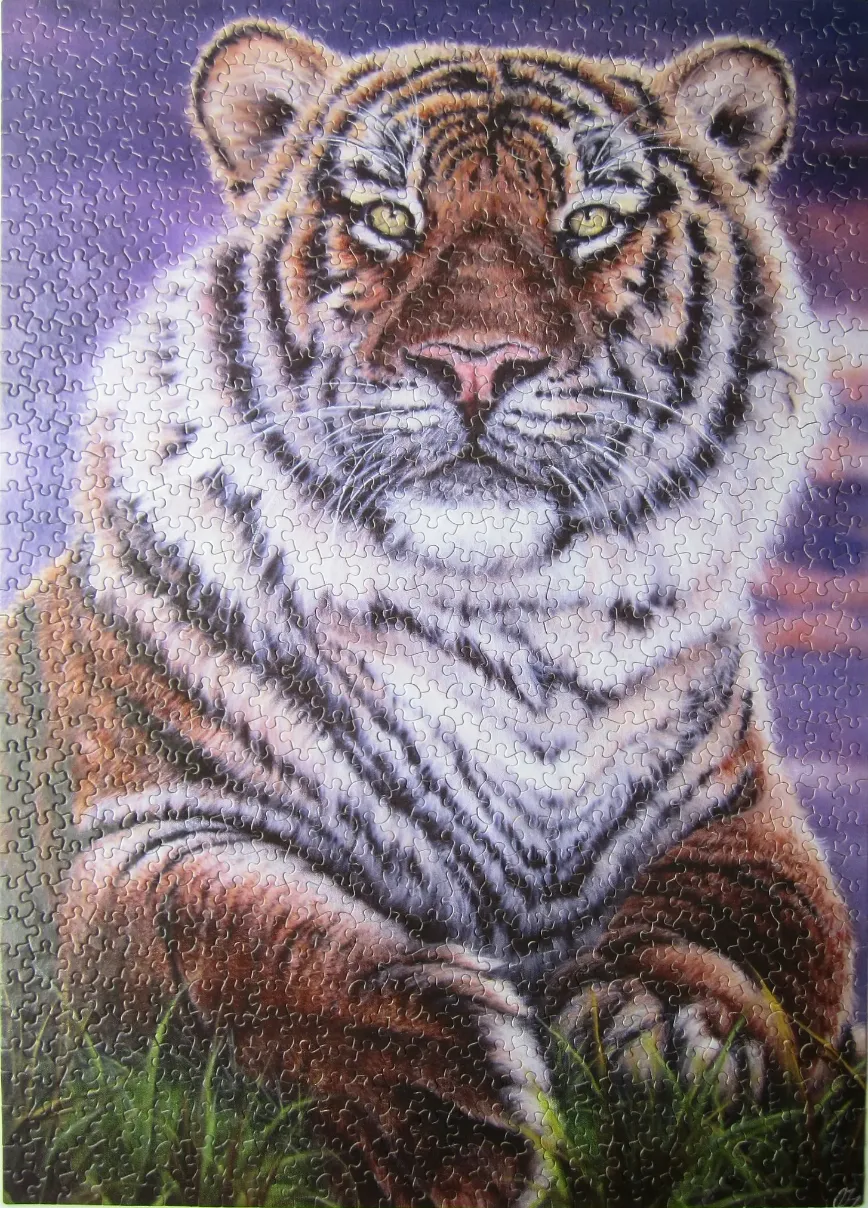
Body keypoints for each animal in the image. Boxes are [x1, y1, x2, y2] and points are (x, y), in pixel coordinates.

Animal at [2, 19, 855, 1208]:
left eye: (589, 221)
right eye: (391, 218)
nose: (476, 362)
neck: (509, 621)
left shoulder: (743, 813)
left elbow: (749, 922)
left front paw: (673, 1030)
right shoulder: (143, 833)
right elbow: (245, 945)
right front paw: (457, 1127)